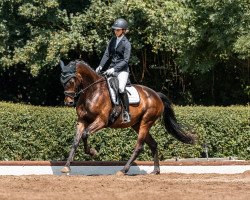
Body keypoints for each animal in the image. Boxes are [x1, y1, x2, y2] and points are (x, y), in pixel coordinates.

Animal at [59, 59, 195, 175]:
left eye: (71, 81)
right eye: (62, 81)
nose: (68, 102)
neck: (92, 91)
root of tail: (156, 95)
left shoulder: (101, 121)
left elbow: (85, 134)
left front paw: (92, 152)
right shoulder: (82, 120)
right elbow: (76, 141)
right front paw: (67, 166)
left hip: (146, 121)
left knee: (139, 146)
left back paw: (123, 170)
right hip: (136, 124)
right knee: (153, 144)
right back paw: (156, 170)